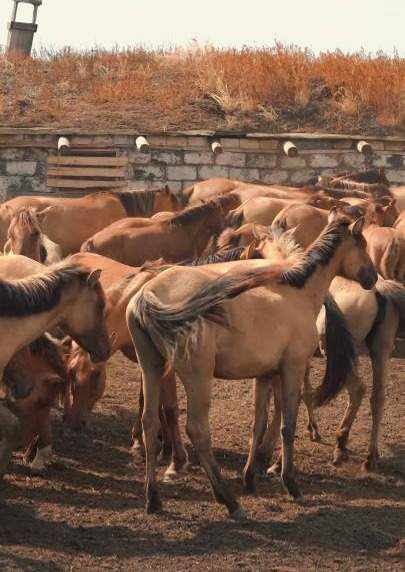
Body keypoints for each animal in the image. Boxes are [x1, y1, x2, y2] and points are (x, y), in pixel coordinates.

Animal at [127, 214, 376, 520]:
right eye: (362, 243)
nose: (373, 277)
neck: (297, 293)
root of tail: (147, 295)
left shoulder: (265, 375)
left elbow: (258, 425)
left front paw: (250, 478)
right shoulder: (292, 369)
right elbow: (287, 425)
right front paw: (290, 484)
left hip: (150, 369)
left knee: (149, 423)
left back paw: (154, 499)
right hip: (197, 377)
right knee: (197, 430)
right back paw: (229, 501)